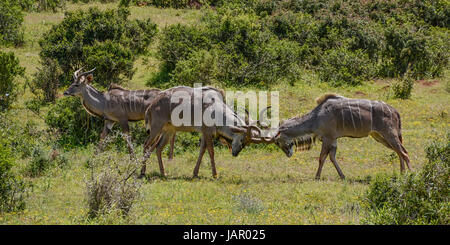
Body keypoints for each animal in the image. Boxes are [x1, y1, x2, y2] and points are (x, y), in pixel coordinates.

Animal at [140, 86, 268, 178]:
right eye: (241, 139)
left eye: (246, 143)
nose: (235, 153)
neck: (215, 108)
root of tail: (150, 107)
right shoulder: (207, 132)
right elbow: (211, 151)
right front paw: (215, 174)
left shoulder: (204, 133)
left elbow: (202, 150)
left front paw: (195, 173)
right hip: (156, 129)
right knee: (146, 145)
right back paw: (142, 172)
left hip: (168, 131)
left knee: (158, 148)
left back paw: (163, 173)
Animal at [272, 94, 410, 180]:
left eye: (277, 142)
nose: (288, 154)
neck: (317, 116)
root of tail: (394, 111)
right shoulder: (333, 140)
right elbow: (332, 157)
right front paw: (342, 176)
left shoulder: (327, 138)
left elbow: (322, 158)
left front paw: (317, 177)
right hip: (380, 137)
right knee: (400, 152)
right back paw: (402, 173)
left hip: (389, 134)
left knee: (404, 153)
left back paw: (410, 175)